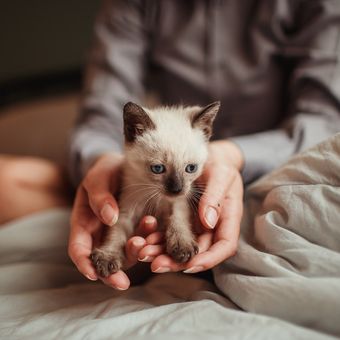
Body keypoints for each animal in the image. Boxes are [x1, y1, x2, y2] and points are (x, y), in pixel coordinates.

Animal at [90, 100, 219, 276]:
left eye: (191, 168)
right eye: (158, 168)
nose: (176, 189)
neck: (156, 198)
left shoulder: (179, 202)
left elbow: (178, 219)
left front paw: (182, 245)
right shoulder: (126, 210)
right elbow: (115, 232)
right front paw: (107, 256)